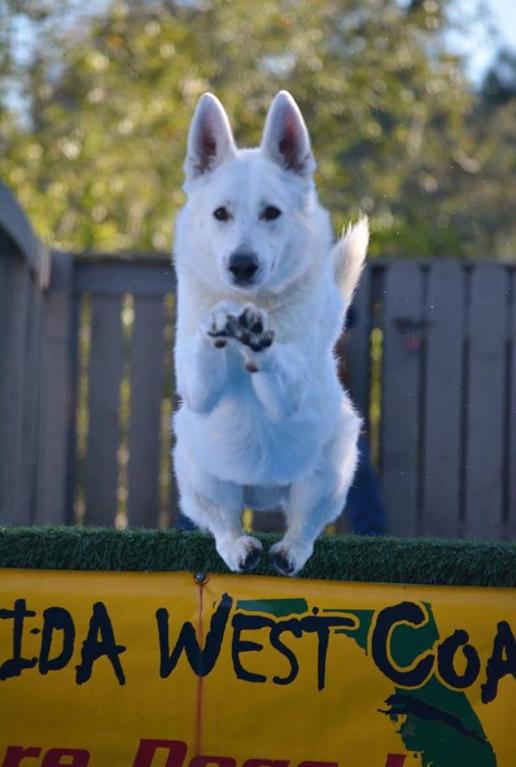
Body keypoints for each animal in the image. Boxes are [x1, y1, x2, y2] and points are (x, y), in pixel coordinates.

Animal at [173, 90, 368, 575]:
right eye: (220, 214)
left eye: (271, 213)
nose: (242, 265)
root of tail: (263, 491)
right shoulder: (198, 390)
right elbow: (204, 353)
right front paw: (219, 320)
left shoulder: (289, 390)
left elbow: (280, 364)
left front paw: (260, 335)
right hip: (198, 469)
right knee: (224, 523)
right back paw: (239, 547)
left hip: (329, 472)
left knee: (304, 525)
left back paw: (289, 552)